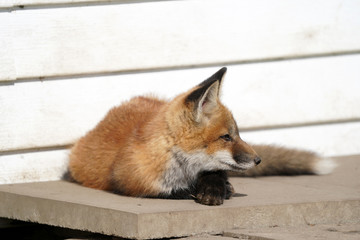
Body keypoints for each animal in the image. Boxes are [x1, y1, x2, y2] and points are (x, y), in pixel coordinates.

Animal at [65, 66, 338, 205]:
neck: (184, 170)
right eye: (226, 137)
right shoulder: (129, 181)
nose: (258, 160)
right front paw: (194, 191)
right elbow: (168, 191)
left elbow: (215, 174)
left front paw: (217, 188)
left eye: (238, 134)